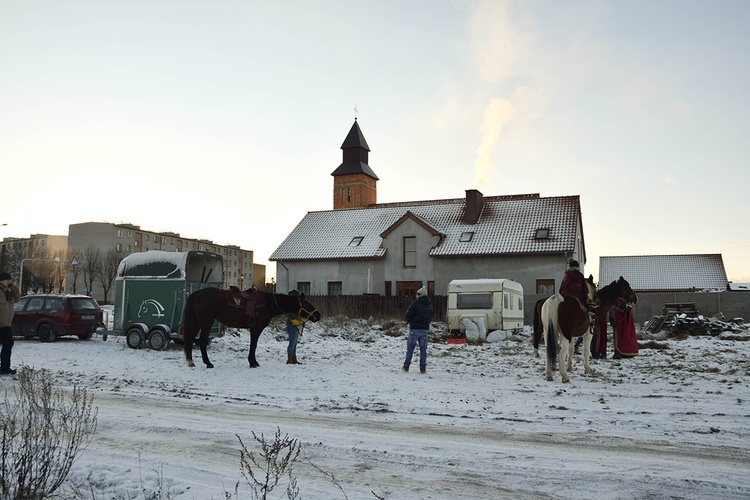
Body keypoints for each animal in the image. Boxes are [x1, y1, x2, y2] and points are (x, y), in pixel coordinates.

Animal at [185, 290, 324, 368]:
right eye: (306, 303)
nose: (318, 315)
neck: (268, 304)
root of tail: (197, 294)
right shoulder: (257, 328)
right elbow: (254, 345)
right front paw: (253, 363)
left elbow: (253, 344)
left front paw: (253, 362)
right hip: (206, 322)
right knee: (202, 341)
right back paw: (208, 363)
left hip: (198, 322)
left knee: (191, 339)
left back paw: (191, 362)